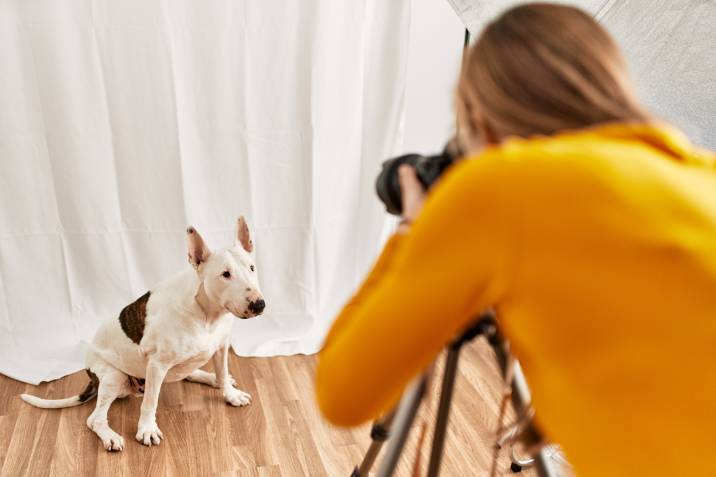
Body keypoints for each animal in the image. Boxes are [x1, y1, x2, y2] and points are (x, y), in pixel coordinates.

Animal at [21, 216, 264, 450]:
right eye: (225, 274)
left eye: (252, 268)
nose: (259, 304)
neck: (207, 312)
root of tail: (90, 373)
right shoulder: (157, 365)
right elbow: (150, 402)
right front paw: (147, 430)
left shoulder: (221, 346)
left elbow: (222, 372)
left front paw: (230, 394)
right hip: (113, 376)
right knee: (95, 419)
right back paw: (110, 437)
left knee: (190, 371)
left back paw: (210, 378)